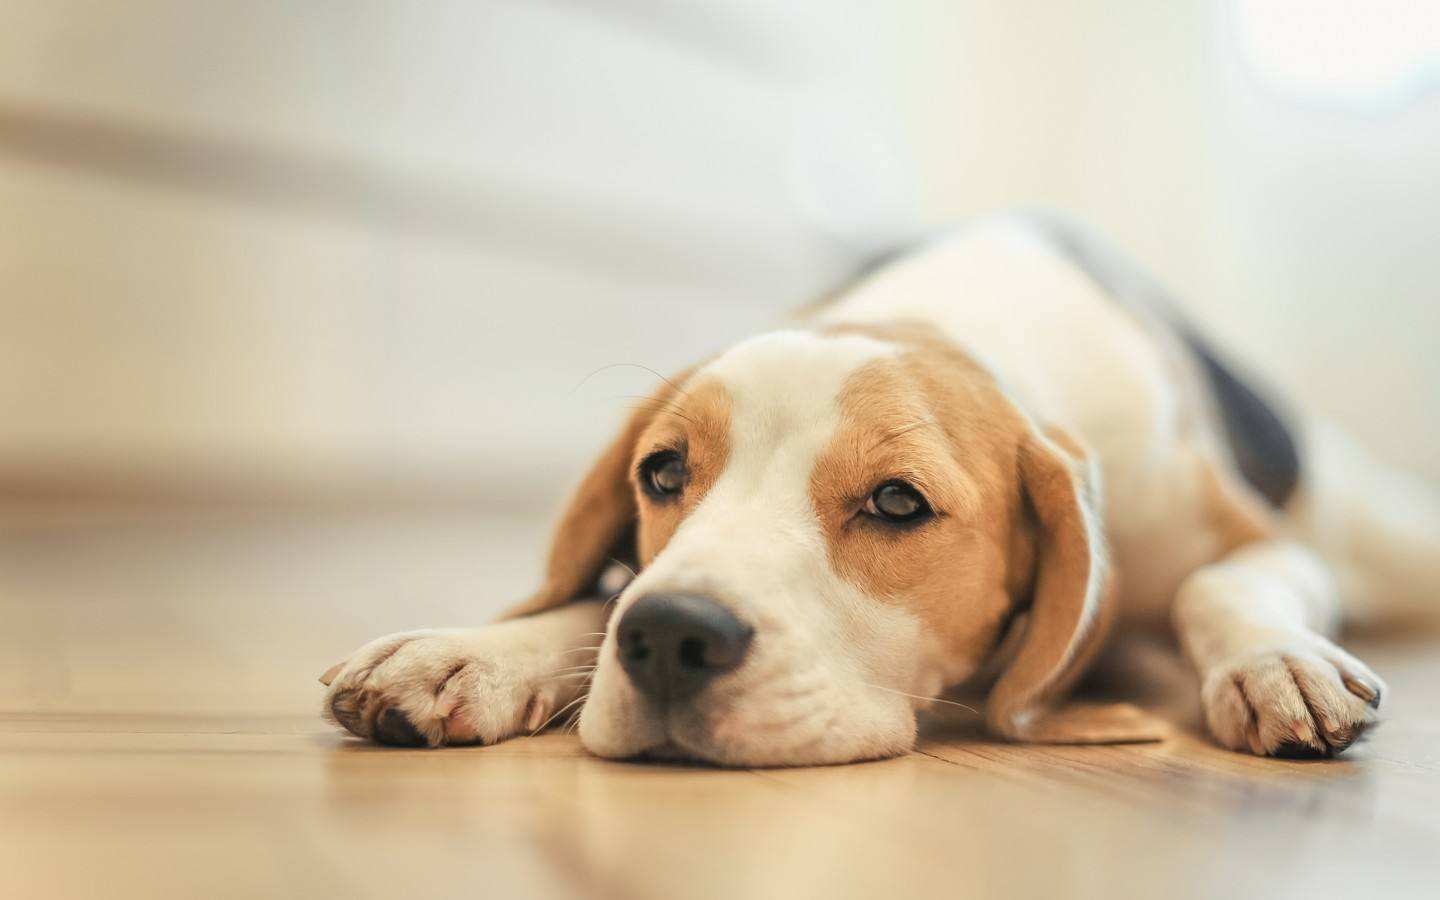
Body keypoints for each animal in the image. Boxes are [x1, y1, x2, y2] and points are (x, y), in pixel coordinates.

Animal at [321, 214, 1434, 760]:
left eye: (899, 503)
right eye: (663, 472)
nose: (673, 637)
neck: (940, 320)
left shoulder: (1252, 541)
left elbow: (1222, 584)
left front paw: (1275, 663)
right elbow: (596, 601)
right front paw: (473, 651)